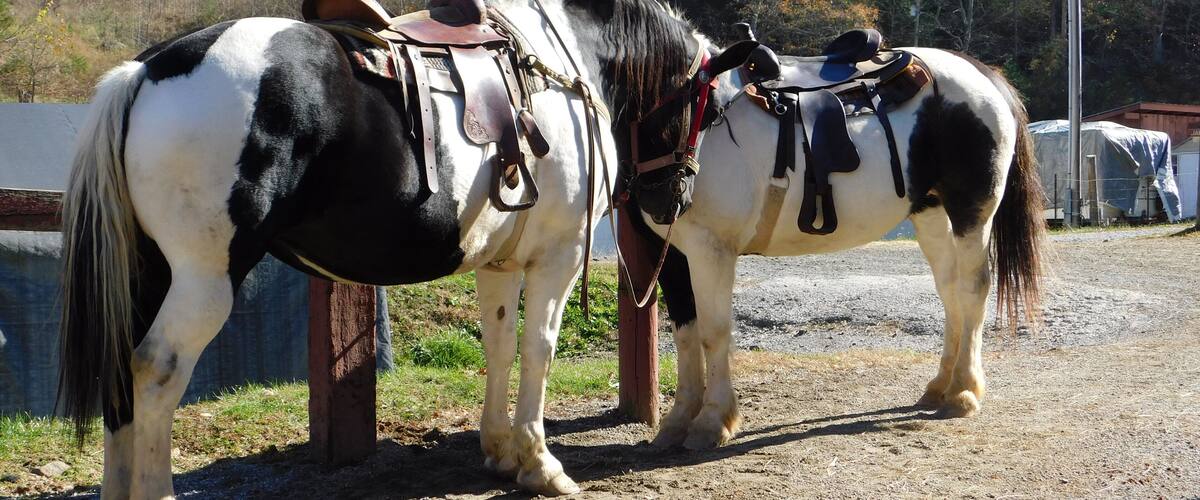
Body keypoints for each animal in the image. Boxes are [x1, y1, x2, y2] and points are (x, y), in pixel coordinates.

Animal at [56, 0, 762, 496]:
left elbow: (500, 345)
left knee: (123, 374)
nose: (671, 199)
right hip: (204, 278)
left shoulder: (501, 262)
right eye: (704, 108)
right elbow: (538, 349)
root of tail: (146, 70)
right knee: (155, 372)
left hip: (149, 272)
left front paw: (499, 449)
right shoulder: (556, 257)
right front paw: (540, 465)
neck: (568, 64)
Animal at [624, 47, 1046, 449]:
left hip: (971, 213)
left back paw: (962, 392)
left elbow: (713, 332)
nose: (665, 196)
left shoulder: (710, 251)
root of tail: (982, 74)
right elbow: (685, 332)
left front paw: (712, 422)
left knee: (972, 290)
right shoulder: (670, 254)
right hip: (931, 213)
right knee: (950, 291)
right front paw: (678, 422)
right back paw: (941, 386)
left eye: (690, 101)